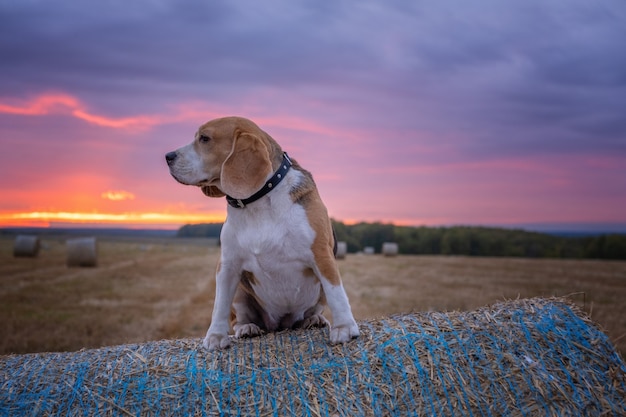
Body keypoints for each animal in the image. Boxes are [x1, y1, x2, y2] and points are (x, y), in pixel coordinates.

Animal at [163, 115, 358, 350]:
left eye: (204, 138)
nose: (168, 156)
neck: (258, 201)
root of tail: (282, 325)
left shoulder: (321, 254)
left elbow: (337, 293)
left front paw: (344, 327)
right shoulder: (227, 265)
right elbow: (219, 305)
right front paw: (216, 336)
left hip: (317, 296)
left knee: (315, 308)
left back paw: (314, 320)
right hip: (240, 292)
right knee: (238, 319)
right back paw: (247, 328)